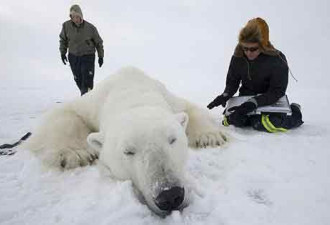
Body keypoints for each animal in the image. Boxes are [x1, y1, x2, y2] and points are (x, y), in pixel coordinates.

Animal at [24, 67, 228, 216]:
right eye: (128, 151)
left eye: (172, 139)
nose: (169, 195)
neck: (131, 89)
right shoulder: (93, 103)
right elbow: (66, 113)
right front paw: (75, 153)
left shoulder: (170, 98)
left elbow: (189, 108)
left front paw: (210, 137)